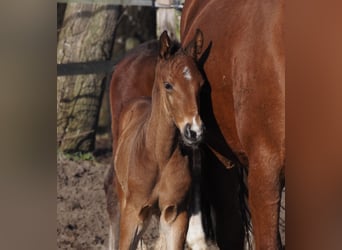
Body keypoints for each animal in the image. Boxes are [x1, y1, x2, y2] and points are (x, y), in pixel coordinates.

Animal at [109, 30, 206, 249]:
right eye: (168, 85)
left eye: (201, 85)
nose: (194, 131)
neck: (159, 156)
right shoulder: (133, 212)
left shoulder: (175, 213)